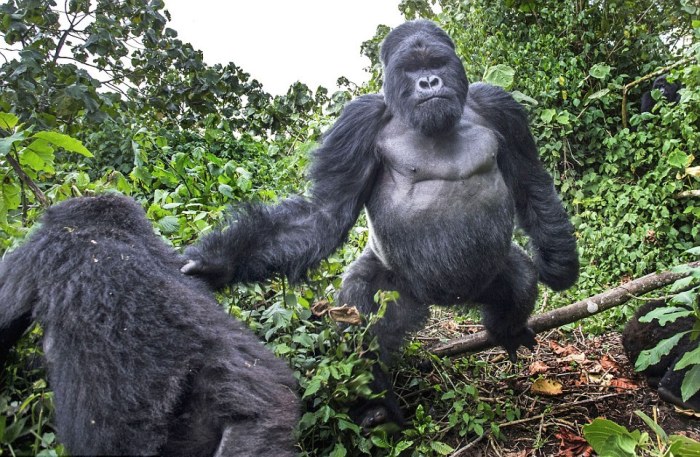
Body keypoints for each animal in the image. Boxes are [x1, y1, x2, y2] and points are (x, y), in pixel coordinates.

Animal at [182, 20, 580, 428]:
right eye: (411, 69)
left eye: (436, 62)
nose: (429, 82)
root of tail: (449, 301)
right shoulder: (359, 119)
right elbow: (325, 214)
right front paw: (220, 262)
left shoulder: (499, 105)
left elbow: (528, 179)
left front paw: (560, 265)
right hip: (399, 291)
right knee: (363, 310)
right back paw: (376, 404)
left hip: (486, 277)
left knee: (518, 279)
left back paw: (507, 329)